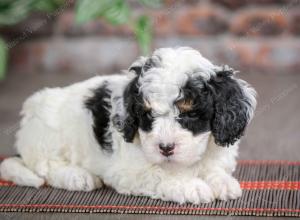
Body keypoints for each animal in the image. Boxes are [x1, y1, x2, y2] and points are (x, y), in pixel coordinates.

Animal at [1, 47, 256, 204]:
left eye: (190, 113)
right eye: (147, 114)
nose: (165, 148)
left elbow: (213, 168)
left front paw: (222, 182)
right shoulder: (126, 170)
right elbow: (158, 174)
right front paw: (188, 186)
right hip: (49, 135)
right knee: (46, 167)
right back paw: (78, 176)